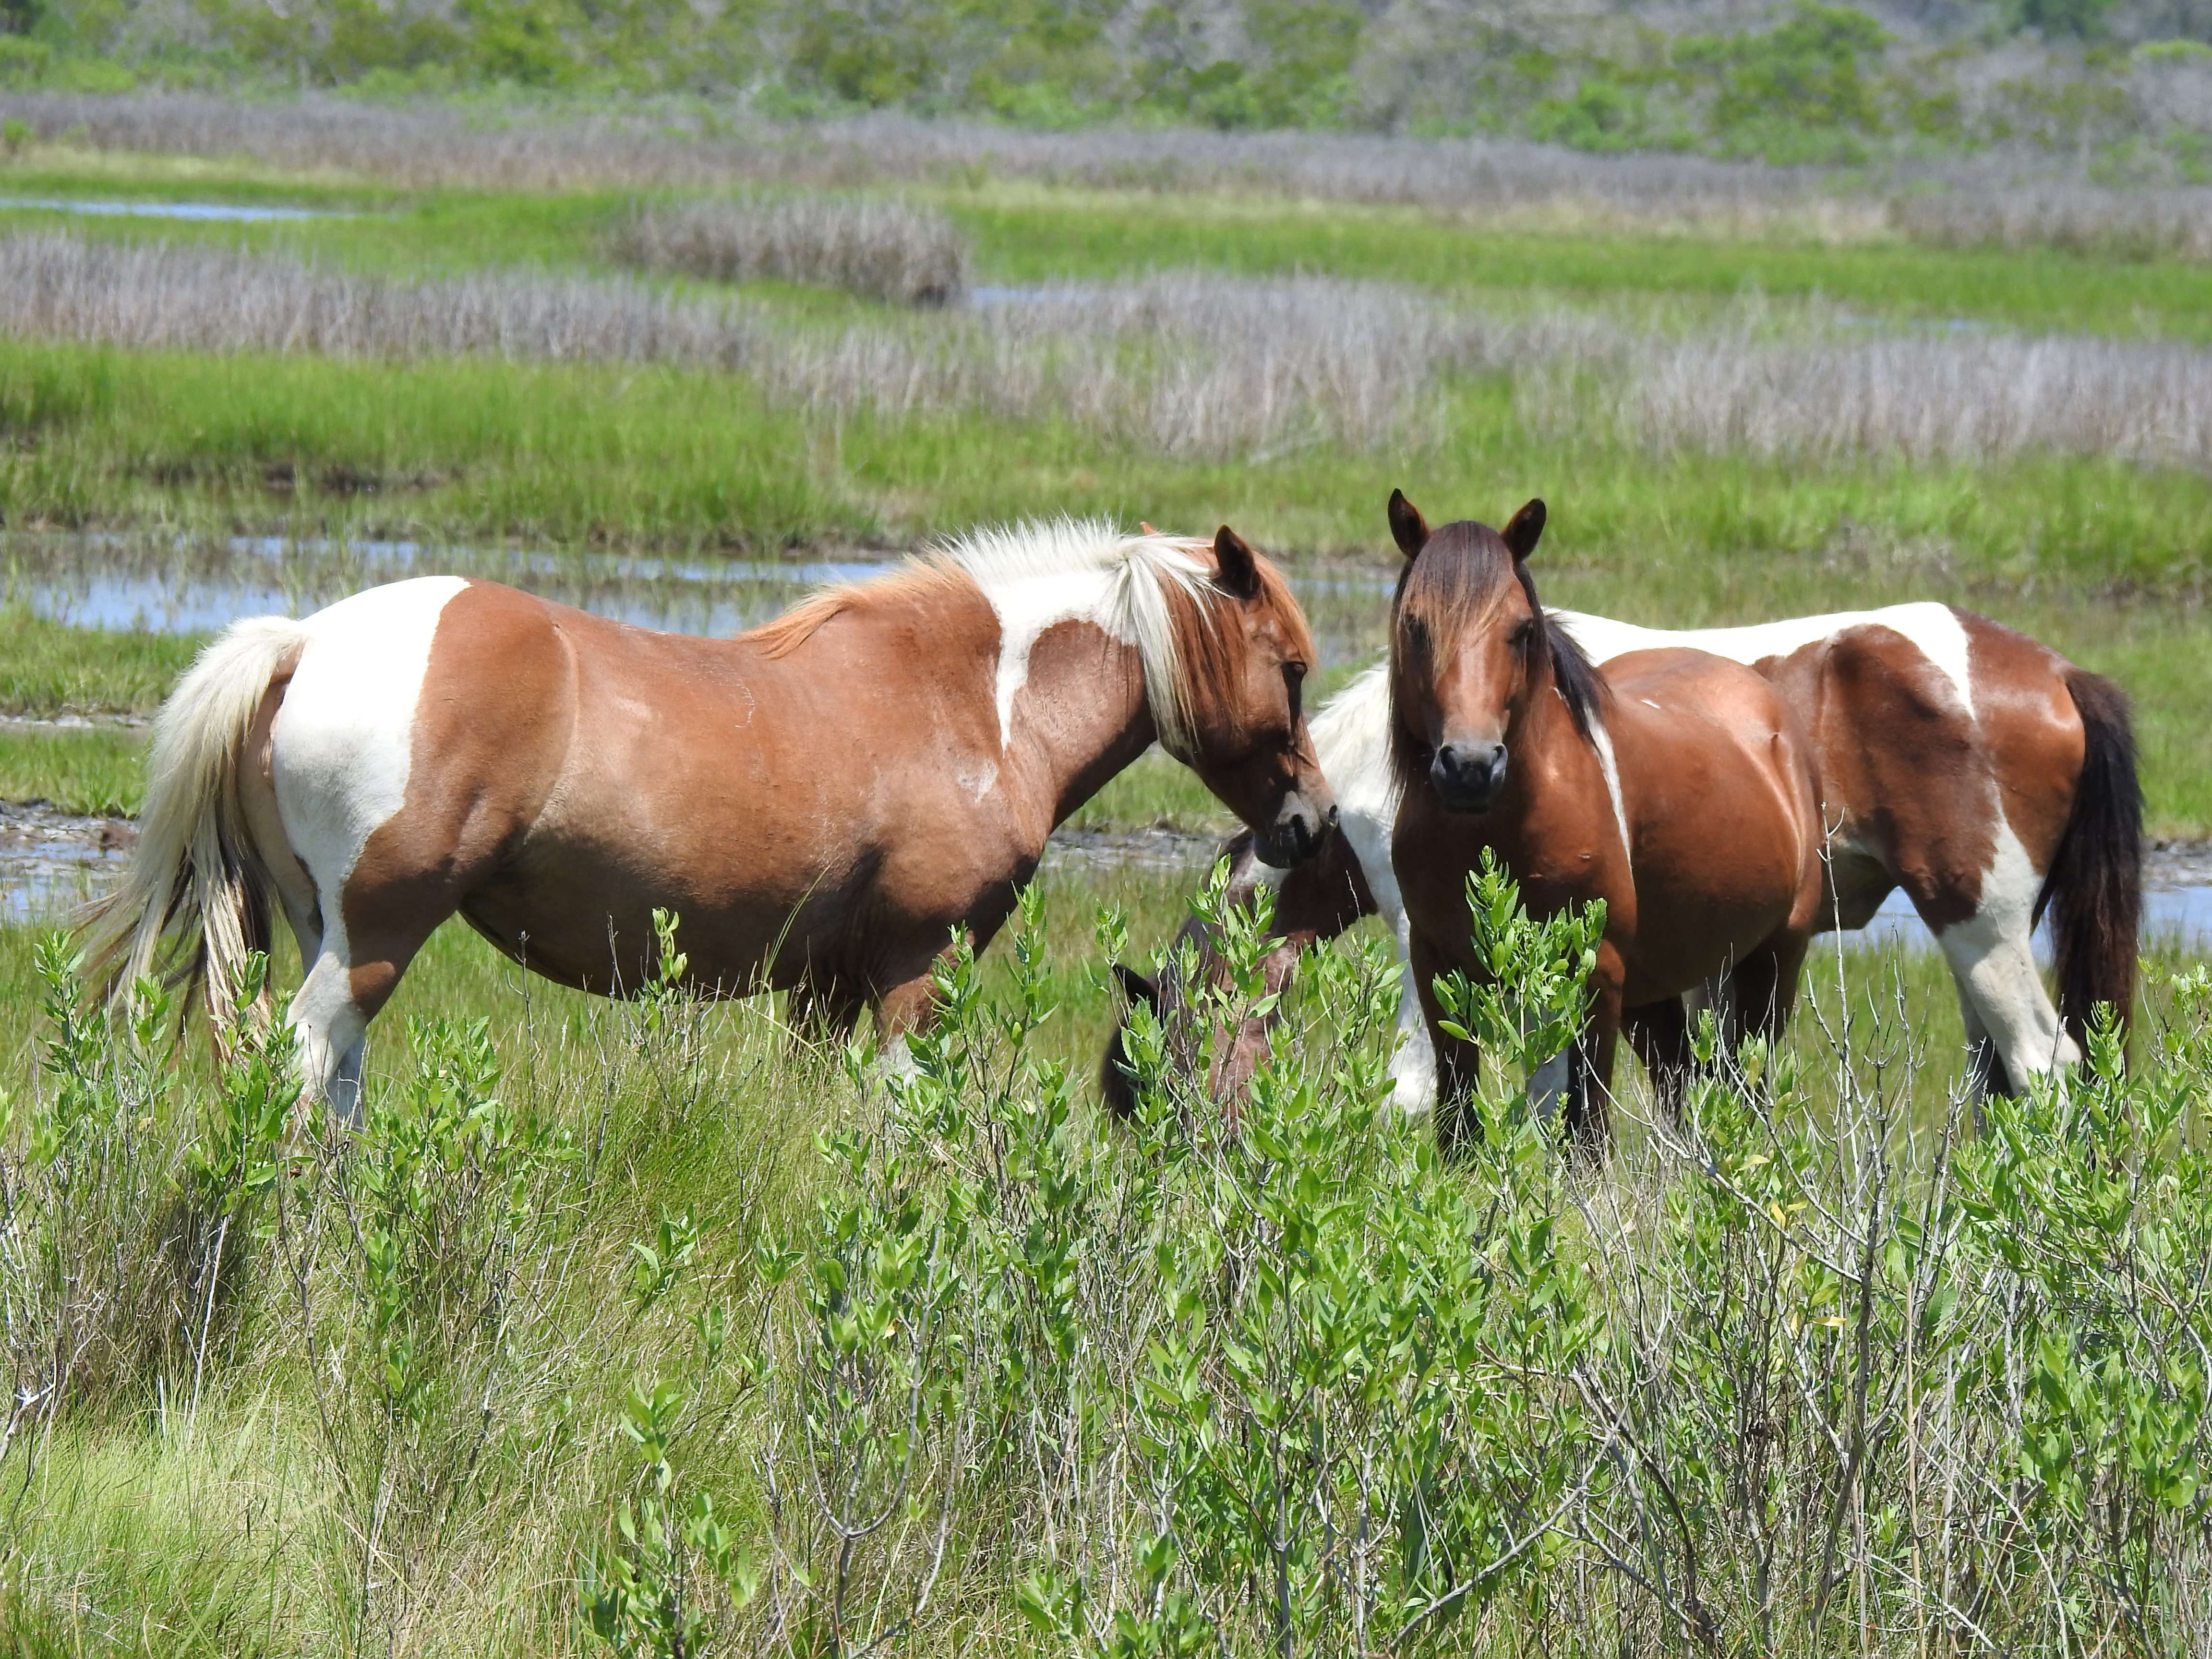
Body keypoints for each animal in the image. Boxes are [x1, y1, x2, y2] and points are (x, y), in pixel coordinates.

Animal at [84, 519, 1337, 1122]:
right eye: (1290, 666)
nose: (1312, 822)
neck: (971, 700)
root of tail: (302, 641)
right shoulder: (915, 971)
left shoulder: (825, 987)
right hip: (375, 937)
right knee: (300, 1061)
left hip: (325, 932)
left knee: (332, 1079)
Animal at [1106, 508, 2140, 1128]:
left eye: (1154, 1076)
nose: (1170, 1168)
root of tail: (2056, 673)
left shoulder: (1425, 941)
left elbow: (1418, 1088)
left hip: (1980, 926)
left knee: (2045, 1068)